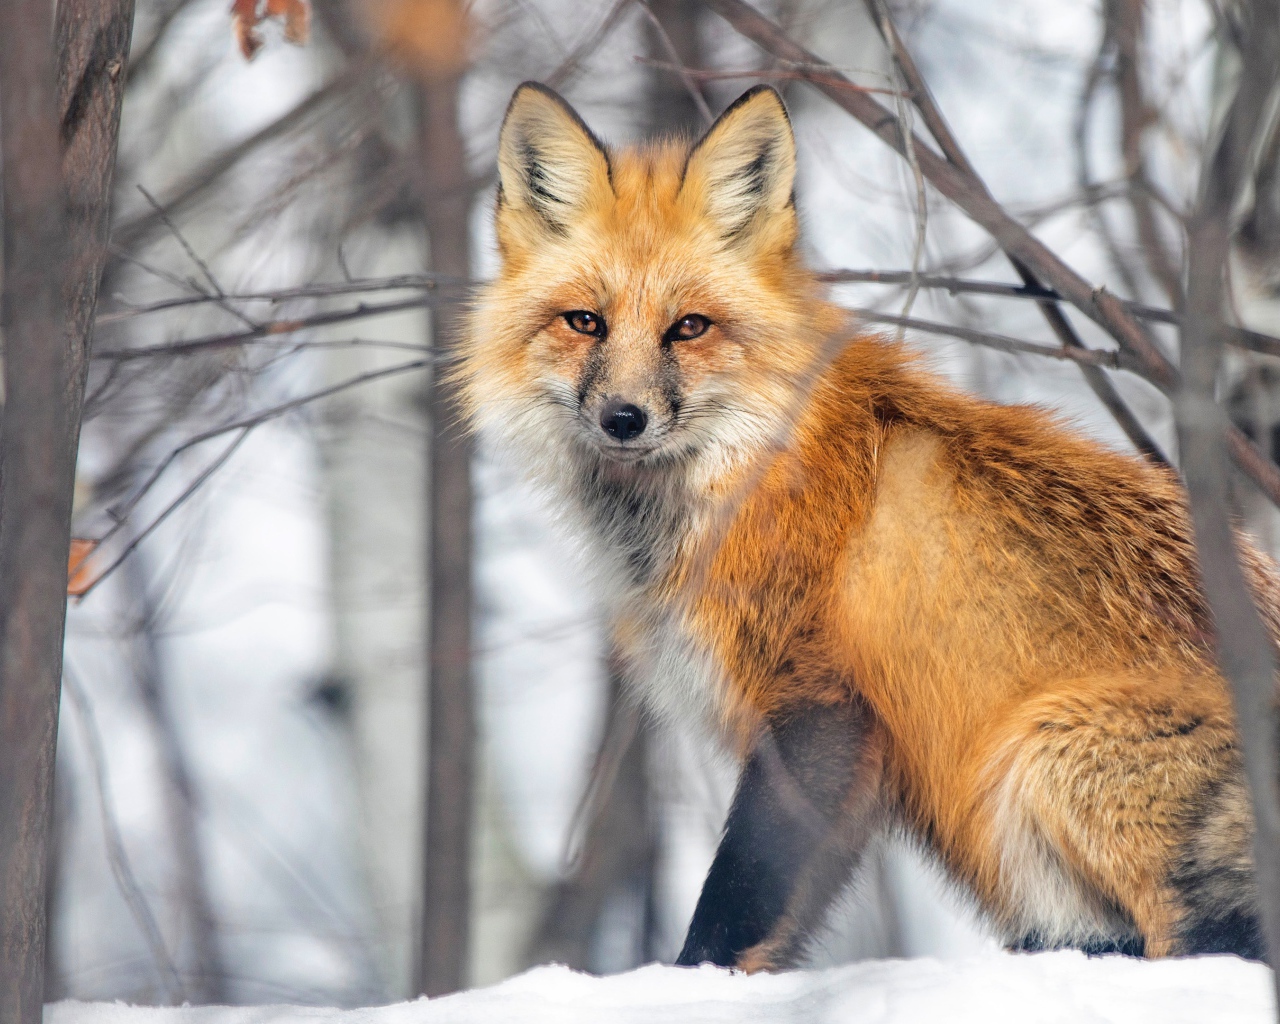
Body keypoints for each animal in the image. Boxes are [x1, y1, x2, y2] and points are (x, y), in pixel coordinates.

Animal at [455, 80, 1274, 967]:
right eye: (585, 322)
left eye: (689, 327)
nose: (624, 418)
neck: (752, 469)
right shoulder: (844, 769)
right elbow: (779, 923)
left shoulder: (822, 704)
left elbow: (734, 903)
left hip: (1047, 755)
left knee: (1211, 943)